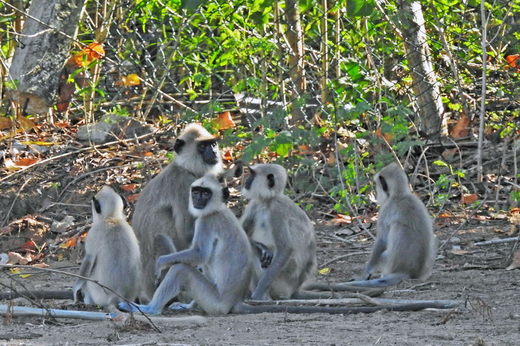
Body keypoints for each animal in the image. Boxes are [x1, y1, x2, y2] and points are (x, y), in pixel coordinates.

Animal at [120, 174, 254, 314]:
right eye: (196, 192)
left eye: (206, 193)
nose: (198, 198)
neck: (217, 209)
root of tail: (235, 301)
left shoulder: (206, 221)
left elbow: (199, 254)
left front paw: (161, 262)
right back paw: (189, 306)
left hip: (215, 304)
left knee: (181, 269)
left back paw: (150, 309)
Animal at [130, 124, 223, 300]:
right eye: (202, 146)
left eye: (213, 144)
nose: (214, 152)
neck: (185, 168)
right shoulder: (185, 185)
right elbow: (186, 233)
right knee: (161, 240)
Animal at [240, 164, 316, 298]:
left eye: (252, 175)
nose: (246, 181)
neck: (268, 201)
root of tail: (295, 289)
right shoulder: (255, 204)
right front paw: (262, 247)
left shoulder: (277, 210)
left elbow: (285, 249)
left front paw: (258, 293)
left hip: (282, 283)